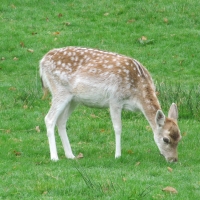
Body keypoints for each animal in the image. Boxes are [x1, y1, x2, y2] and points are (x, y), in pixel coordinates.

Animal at [39, 47, 181, 162]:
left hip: (74, 99)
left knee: (61, 121)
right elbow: (118, 128)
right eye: (166, 139)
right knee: (49, 118)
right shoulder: (114, 100)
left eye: (179, 138)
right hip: (60, 91)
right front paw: (117, 155)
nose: (173, 159)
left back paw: (71, 155)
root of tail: (42, 62)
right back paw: (54, 157)